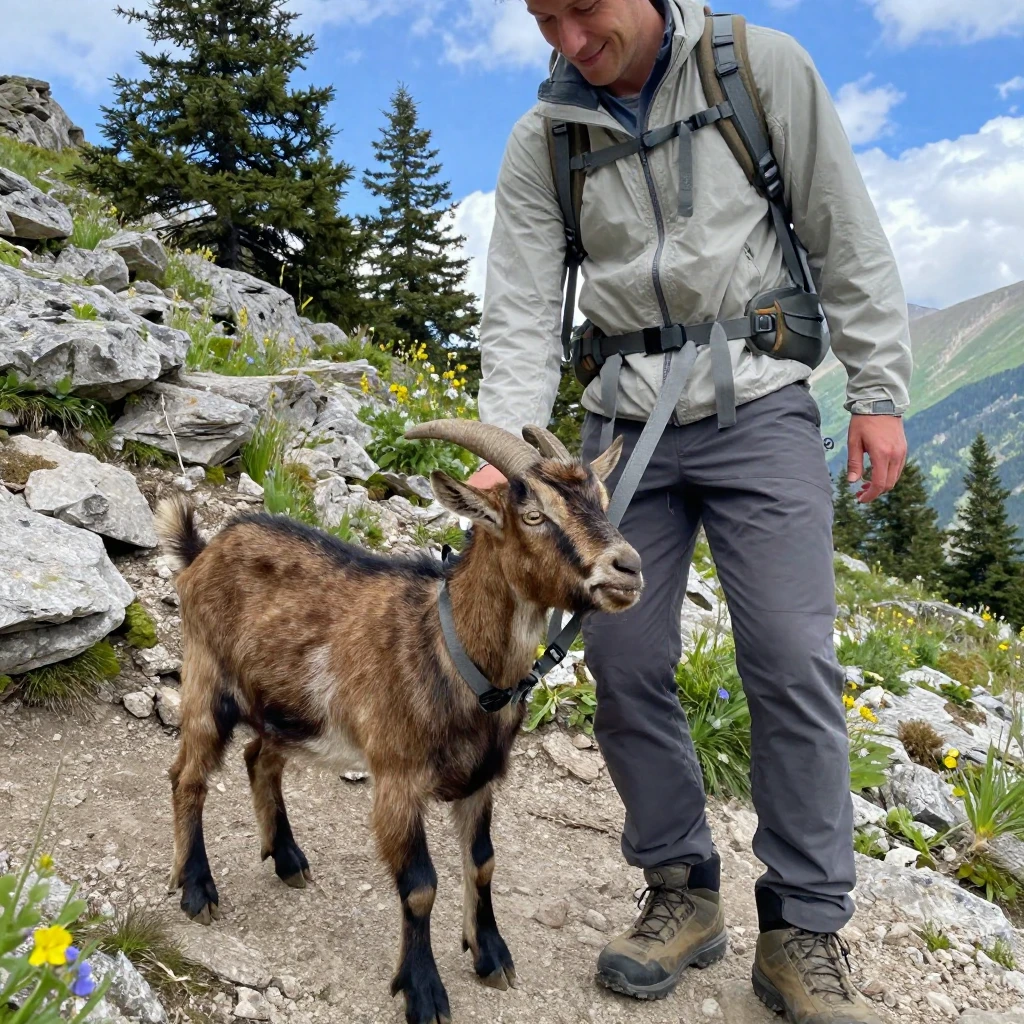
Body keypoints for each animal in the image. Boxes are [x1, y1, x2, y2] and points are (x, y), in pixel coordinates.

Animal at [155, 418, 643, 1024]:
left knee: (258, 757)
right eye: (533, 515)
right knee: (188, 776)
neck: (451, 651)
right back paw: (197, 889)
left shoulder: (480, 781)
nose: (629, 567)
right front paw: (424, 991)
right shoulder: (397, 778)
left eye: (602, 500)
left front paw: (490, 954)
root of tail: (203, 551)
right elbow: (419, 888)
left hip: (289, 707)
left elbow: (483, 864)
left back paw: (287, 858)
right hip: (206, 680)